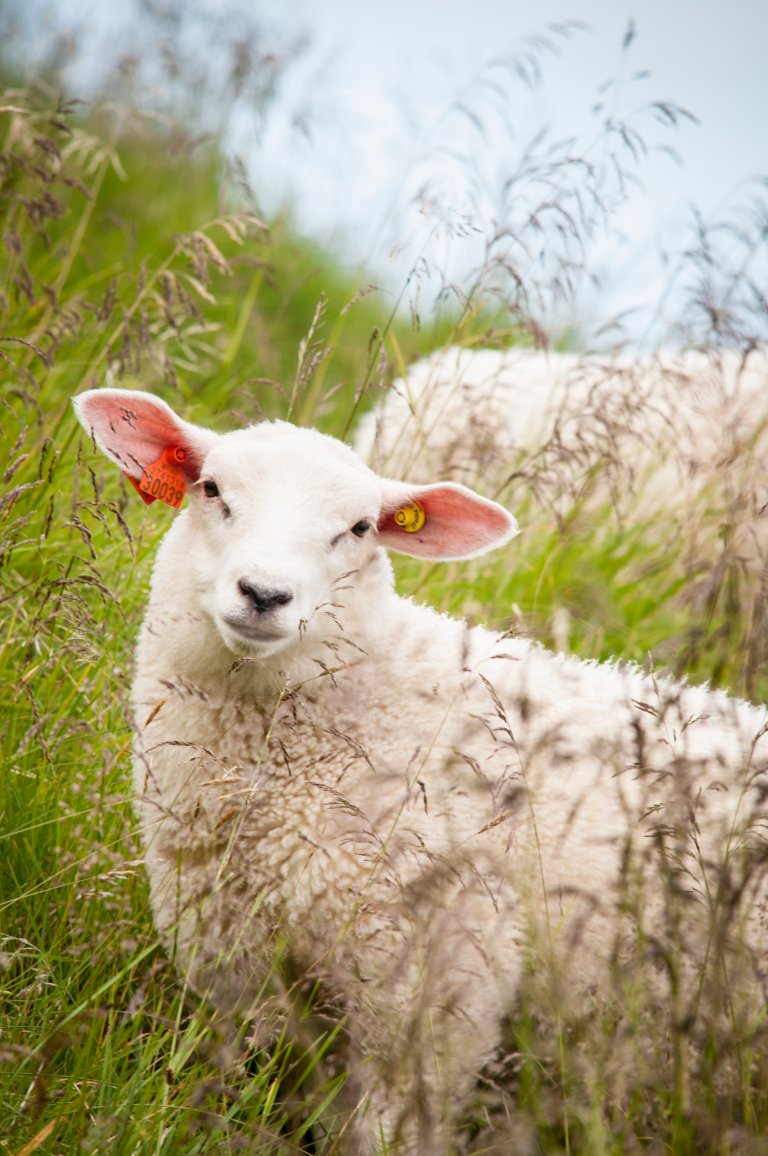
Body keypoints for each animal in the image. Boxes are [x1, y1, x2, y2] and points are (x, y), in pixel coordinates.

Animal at [73, 390, 768, 1156]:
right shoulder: (238, 965)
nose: (265, 594)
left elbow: (393, 1130)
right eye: (213, 490)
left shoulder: (439, 986)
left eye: (358, 528)